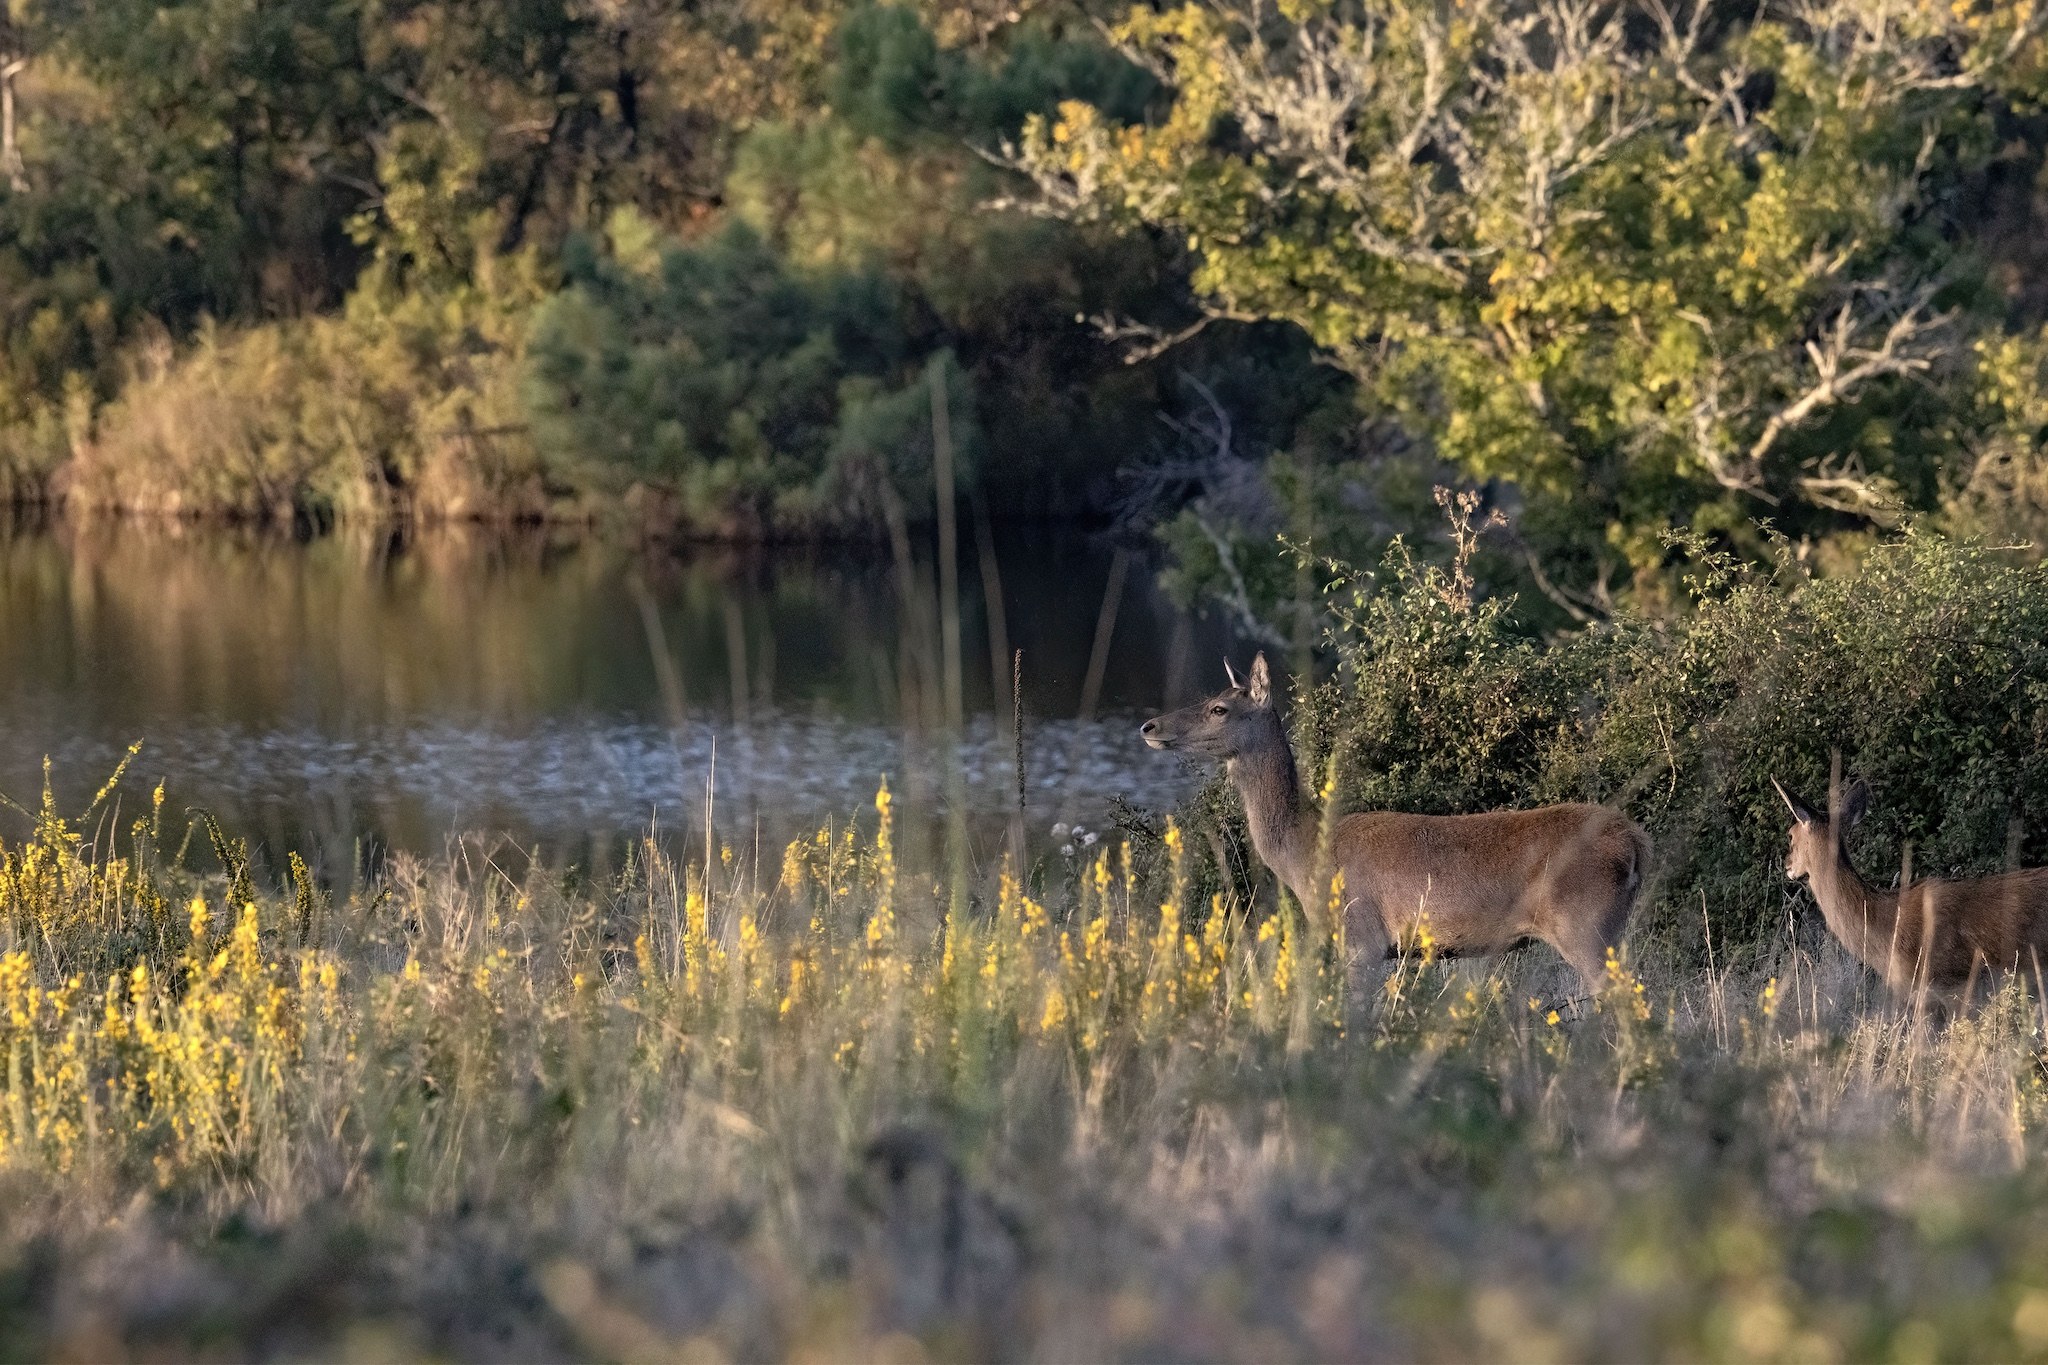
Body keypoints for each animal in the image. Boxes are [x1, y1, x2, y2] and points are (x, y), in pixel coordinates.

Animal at [1140, 653, 1650, 990]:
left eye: (1219, 708)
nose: (1149, 727)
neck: (1303, 854)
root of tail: (1636, 842)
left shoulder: (1361, 938)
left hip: (1585, 924)